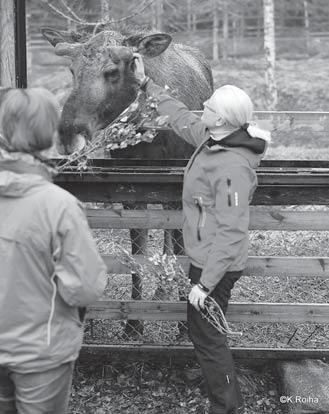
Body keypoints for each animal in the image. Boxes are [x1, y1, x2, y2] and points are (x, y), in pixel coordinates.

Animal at [42, 25, 213, 336]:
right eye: (72, 70)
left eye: (112, 71)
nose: (67, 135)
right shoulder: (132, 192)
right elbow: (138, 255)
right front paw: (134, 324)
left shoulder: (180, 187)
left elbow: (181, 247)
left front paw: (184, 326)